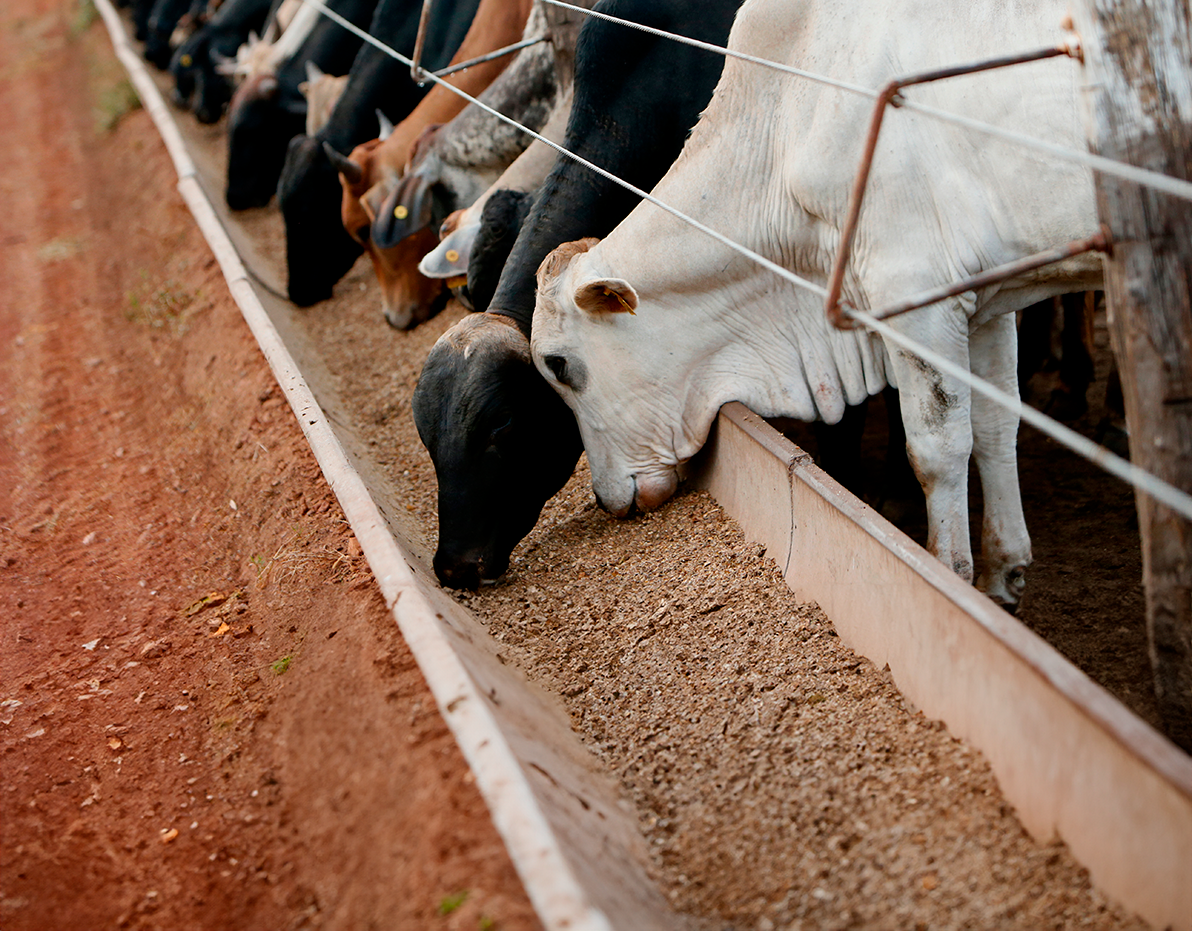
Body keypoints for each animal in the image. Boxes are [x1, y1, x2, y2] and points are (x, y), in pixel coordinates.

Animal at [531, 0, 1096, 605]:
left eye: (558, 365)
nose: (606, 499)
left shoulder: (915, 301)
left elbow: (937, 453)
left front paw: (950, 579)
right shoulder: (985, 303)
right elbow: (996, 425)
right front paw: (1001, 575)